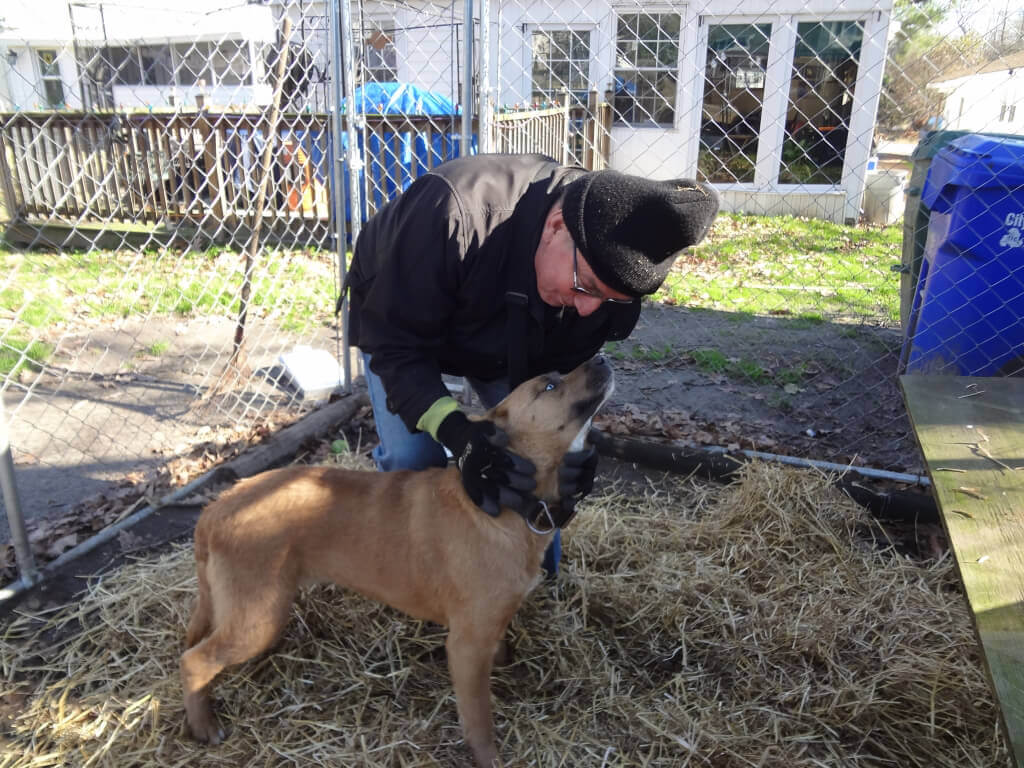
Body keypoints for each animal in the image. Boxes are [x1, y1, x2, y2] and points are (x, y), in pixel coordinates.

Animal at [182, 358, 614, 765]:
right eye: (549, 385)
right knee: (195, 660)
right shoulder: (466, 645)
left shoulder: (492, 622)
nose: (602, 359)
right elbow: (479, 718)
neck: (503, 504)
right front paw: (487, 757)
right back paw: (204, 725)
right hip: (256, 620)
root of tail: (215, 509)